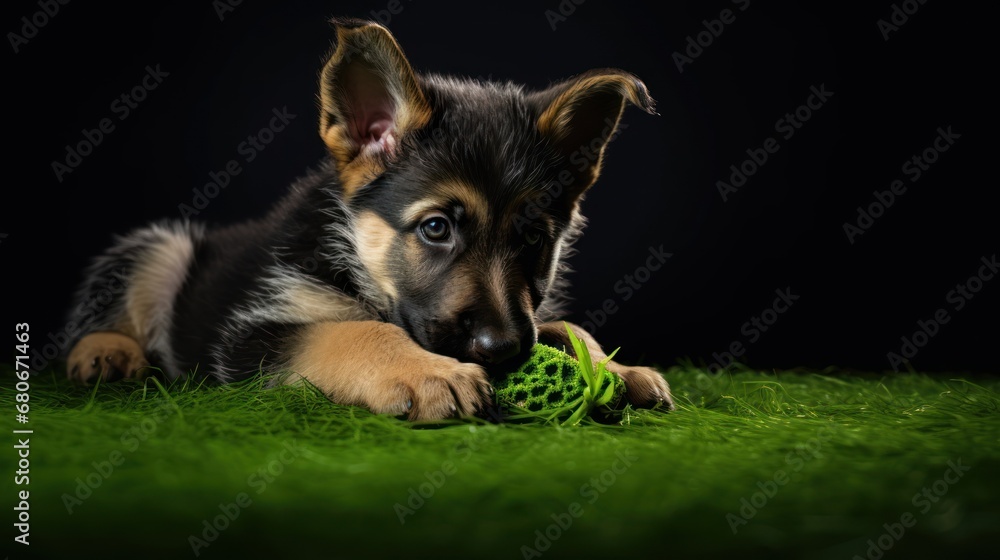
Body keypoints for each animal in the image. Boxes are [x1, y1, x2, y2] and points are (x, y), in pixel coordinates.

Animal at [66, 18, 676, 420]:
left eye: (532, 238)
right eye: (435, 228)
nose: (501, 351)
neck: (359, 265)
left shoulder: (529, 315)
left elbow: (567, 327)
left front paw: (614, 370)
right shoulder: (251, 336)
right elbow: (349, 331)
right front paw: (428, 372)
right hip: (162, 248)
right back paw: (105, 351)